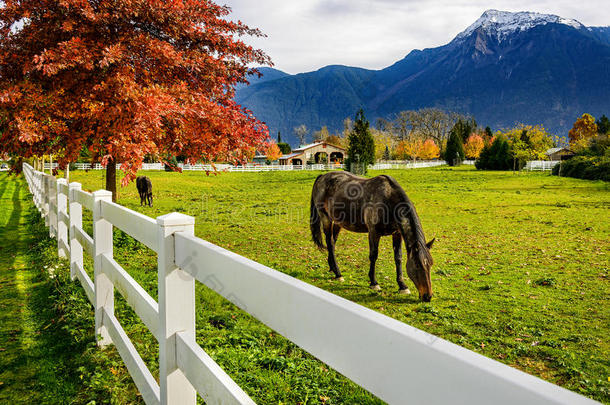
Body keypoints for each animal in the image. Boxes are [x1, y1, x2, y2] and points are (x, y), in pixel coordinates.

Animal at [308, 170, 432, 300]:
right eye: (417, 265)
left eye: (430, 264)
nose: (427, 296)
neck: (388, 200)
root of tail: (322, 176)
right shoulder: (373, 233)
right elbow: (373, 256)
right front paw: (374, 283)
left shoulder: (397, 234)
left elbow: (398, 258)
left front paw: (402, 286)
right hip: (325, 218)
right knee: (330, 243)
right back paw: (338, 273)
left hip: (338, 222)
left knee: (332, 242)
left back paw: (332, 268)